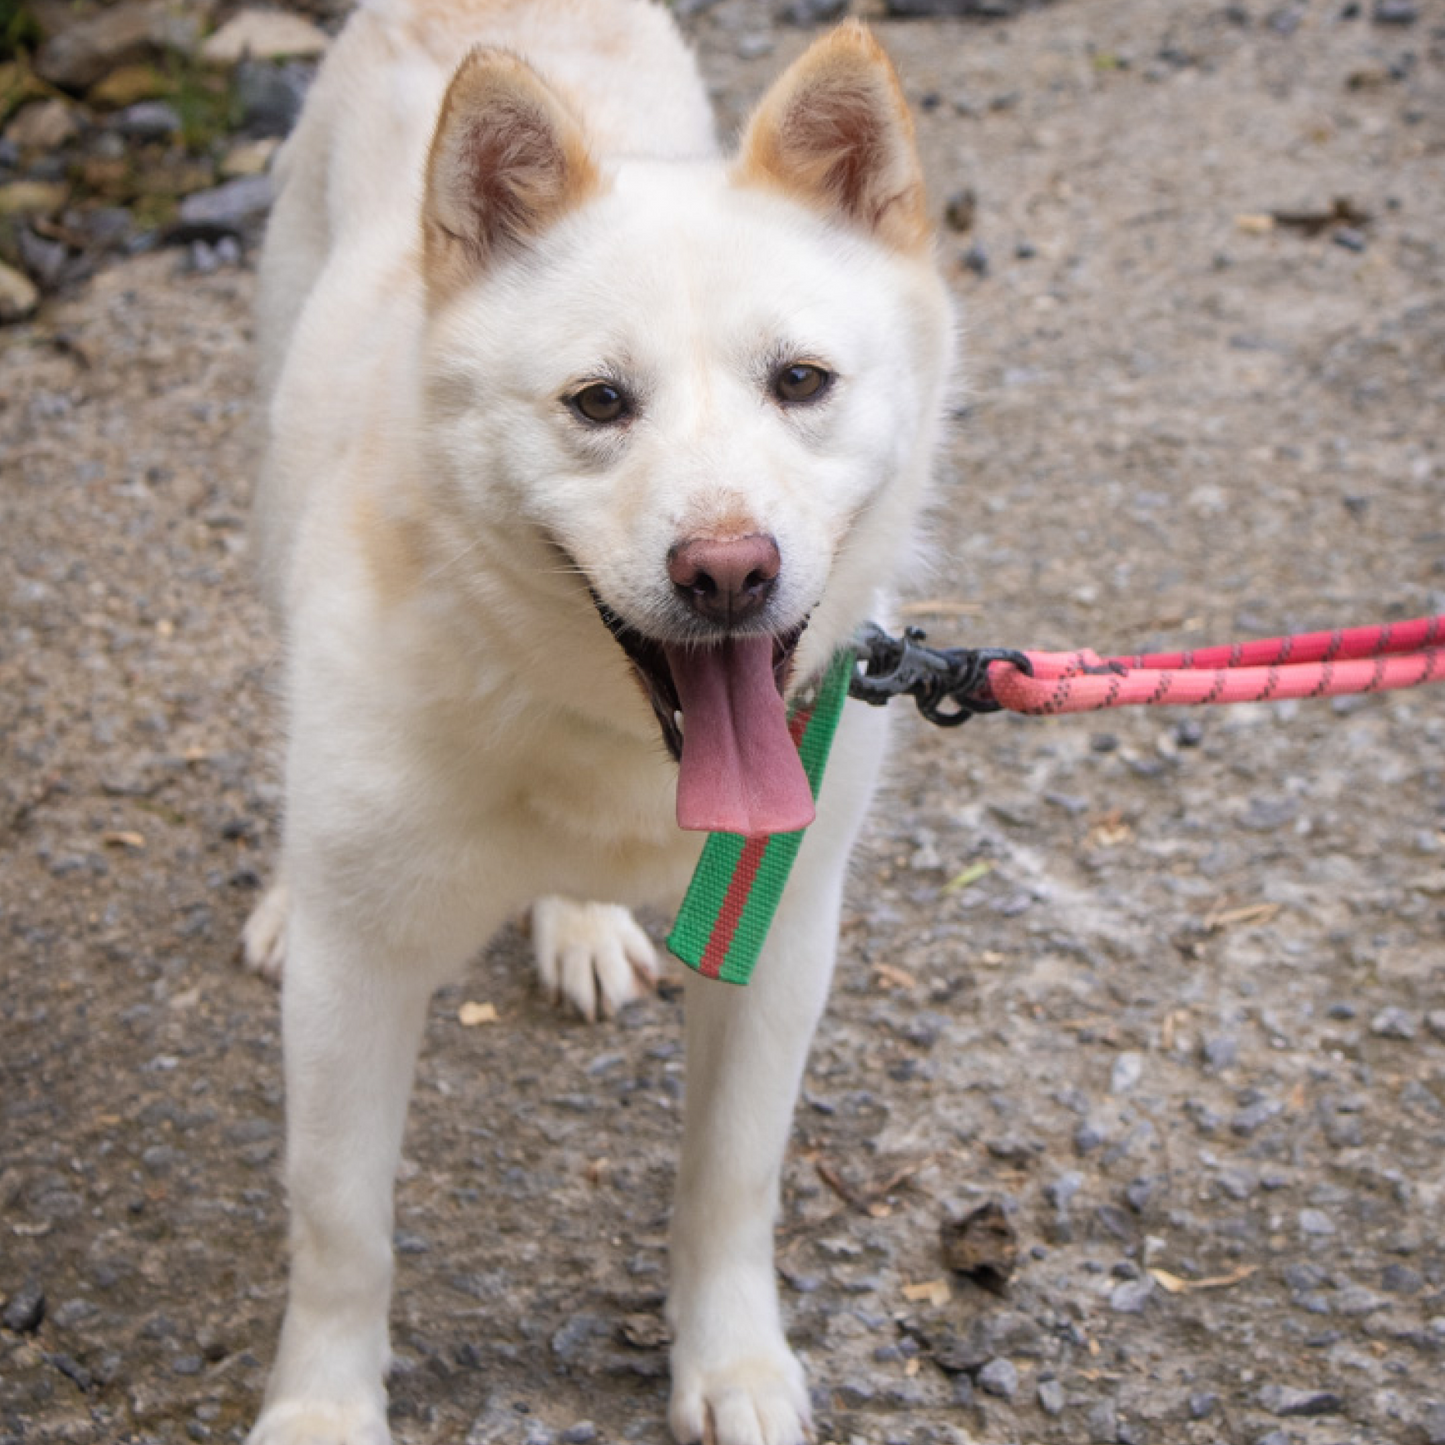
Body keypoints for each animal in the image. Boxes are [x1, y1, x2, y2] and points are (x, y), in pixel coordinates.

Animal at [242, 5, 953, 1439]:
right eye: (598, 403)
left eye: (801, 381)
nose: (728, 571)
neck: (604, 741)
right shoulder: (357, 979)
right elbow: (339, 1224)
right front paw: (323, 1406)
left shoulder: (779, 942)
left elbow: (728, 1185)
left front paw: (730, 1364)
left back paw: (575, 921)